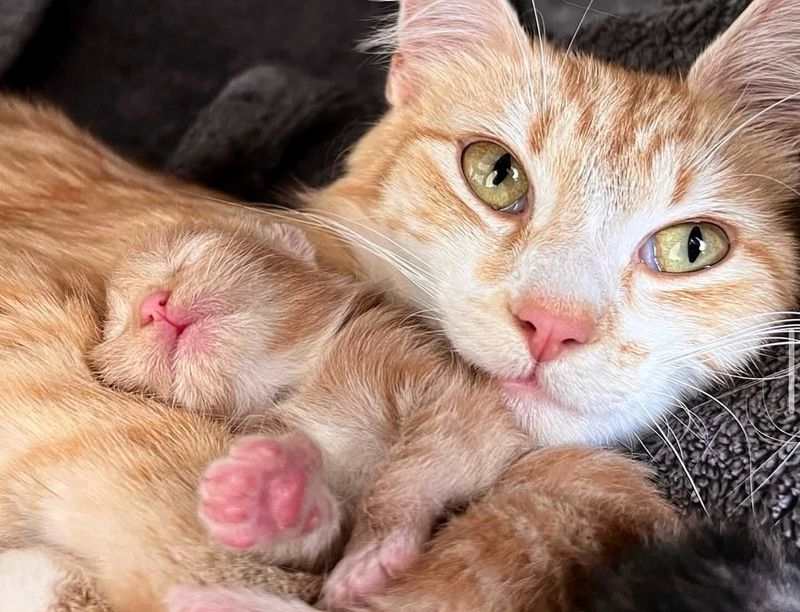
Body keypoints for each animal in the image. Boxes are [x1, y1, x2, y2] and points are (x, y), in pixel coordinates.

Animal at [90, 221, 528, 608]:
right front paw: (268, 494)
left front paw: (373, 552)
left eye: (188, 254)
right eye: (118, 324)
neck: (304, 377)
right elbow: (326, 536)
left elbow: (424, 458)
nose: (151, 305)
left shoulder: (453, 389)